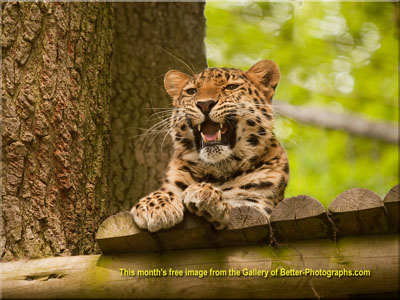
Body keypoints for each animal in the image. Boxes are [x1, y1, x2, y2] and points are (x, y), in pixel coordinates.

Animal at [130, 59, 290, 232]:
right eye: (191, 91)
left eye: (231, 87)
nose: (205, 104)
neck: (217, 169)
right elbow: (164, 192)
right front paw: (155, 205)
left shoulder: (258, 207)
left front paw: (205, 193)